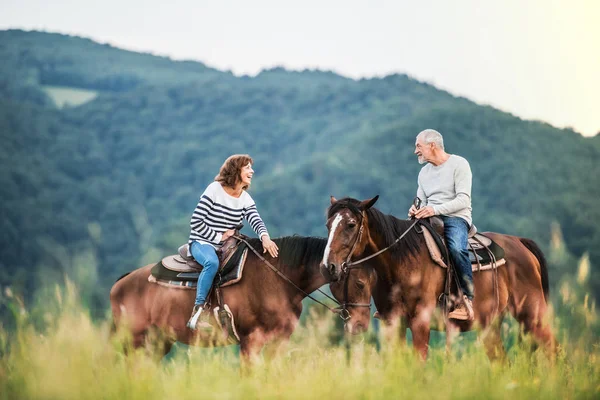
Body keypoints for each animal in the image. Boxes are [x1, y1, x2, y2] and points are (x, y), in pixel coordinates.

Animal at [109, 234, 370, 362]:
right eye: (360, 283)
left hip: (158, 342)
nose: (361, 325)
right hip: (134, 341)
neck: (279, 279)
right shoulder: (250, 341)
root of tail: (120, 283)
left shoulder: (279, 341)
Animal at [322, 196, 556, 360]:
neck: (401, 261)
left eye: (351, 224)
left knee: (553, 350)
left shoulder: (420, 322)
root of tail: (519, 242)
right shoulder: (393, 323)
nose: (328, 266)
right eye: (328, 225)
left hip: (533, 316)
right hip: (490, 327)